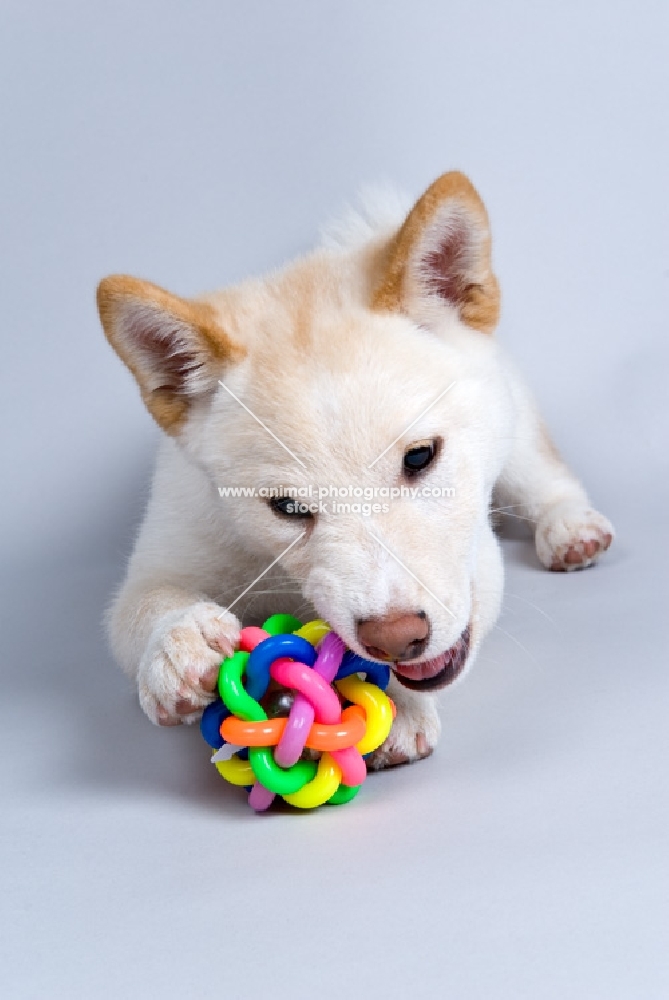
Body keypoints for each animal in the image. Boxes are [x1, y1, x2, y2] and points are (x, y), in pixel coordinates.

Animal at [96, 172, 612, 764]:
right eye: (287, 507)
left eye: (421, 456)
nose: (395, 637)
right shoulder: (167, 549)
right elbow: (143, 604)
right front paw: (178, 644)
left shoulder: (476, 562)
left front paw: (391, 708)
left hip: (516, 423)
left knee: (542, 471)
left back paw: (569, 525)